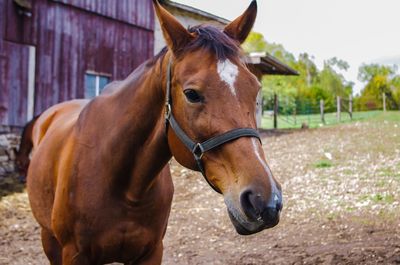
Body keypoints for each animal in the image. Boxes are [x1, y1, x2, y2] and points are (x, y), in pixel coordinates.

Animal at [25, 1, 282, 262]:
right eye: (191, 94)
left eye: (255, 89)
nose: (264, 201)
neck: (126, 188)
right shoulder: (74, 254)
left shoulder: (152, 251)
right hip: (49, 240)